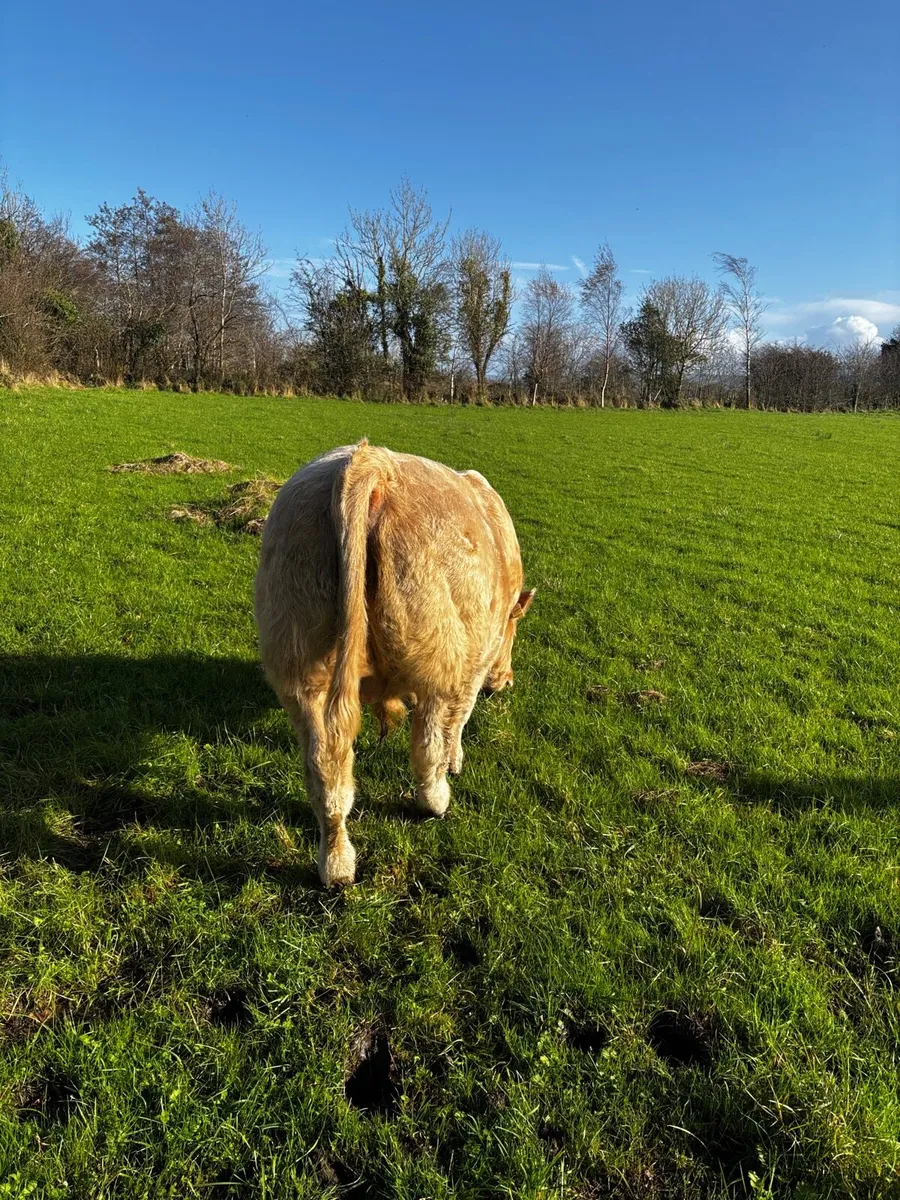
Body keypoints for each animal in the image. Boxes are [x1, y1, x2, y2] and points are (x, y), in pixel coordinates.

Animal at [254, 440, 534, 886]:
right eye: (514, 627)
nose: (504, 681)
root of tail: (369, 463)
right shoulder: (473, 663)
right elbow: (458, 722)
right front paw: (456, 762)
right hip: (439, 657)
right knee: (426, 743)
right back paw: (435, 800)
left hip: (297, 662)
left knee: (324, 763)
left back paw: (336, 864)